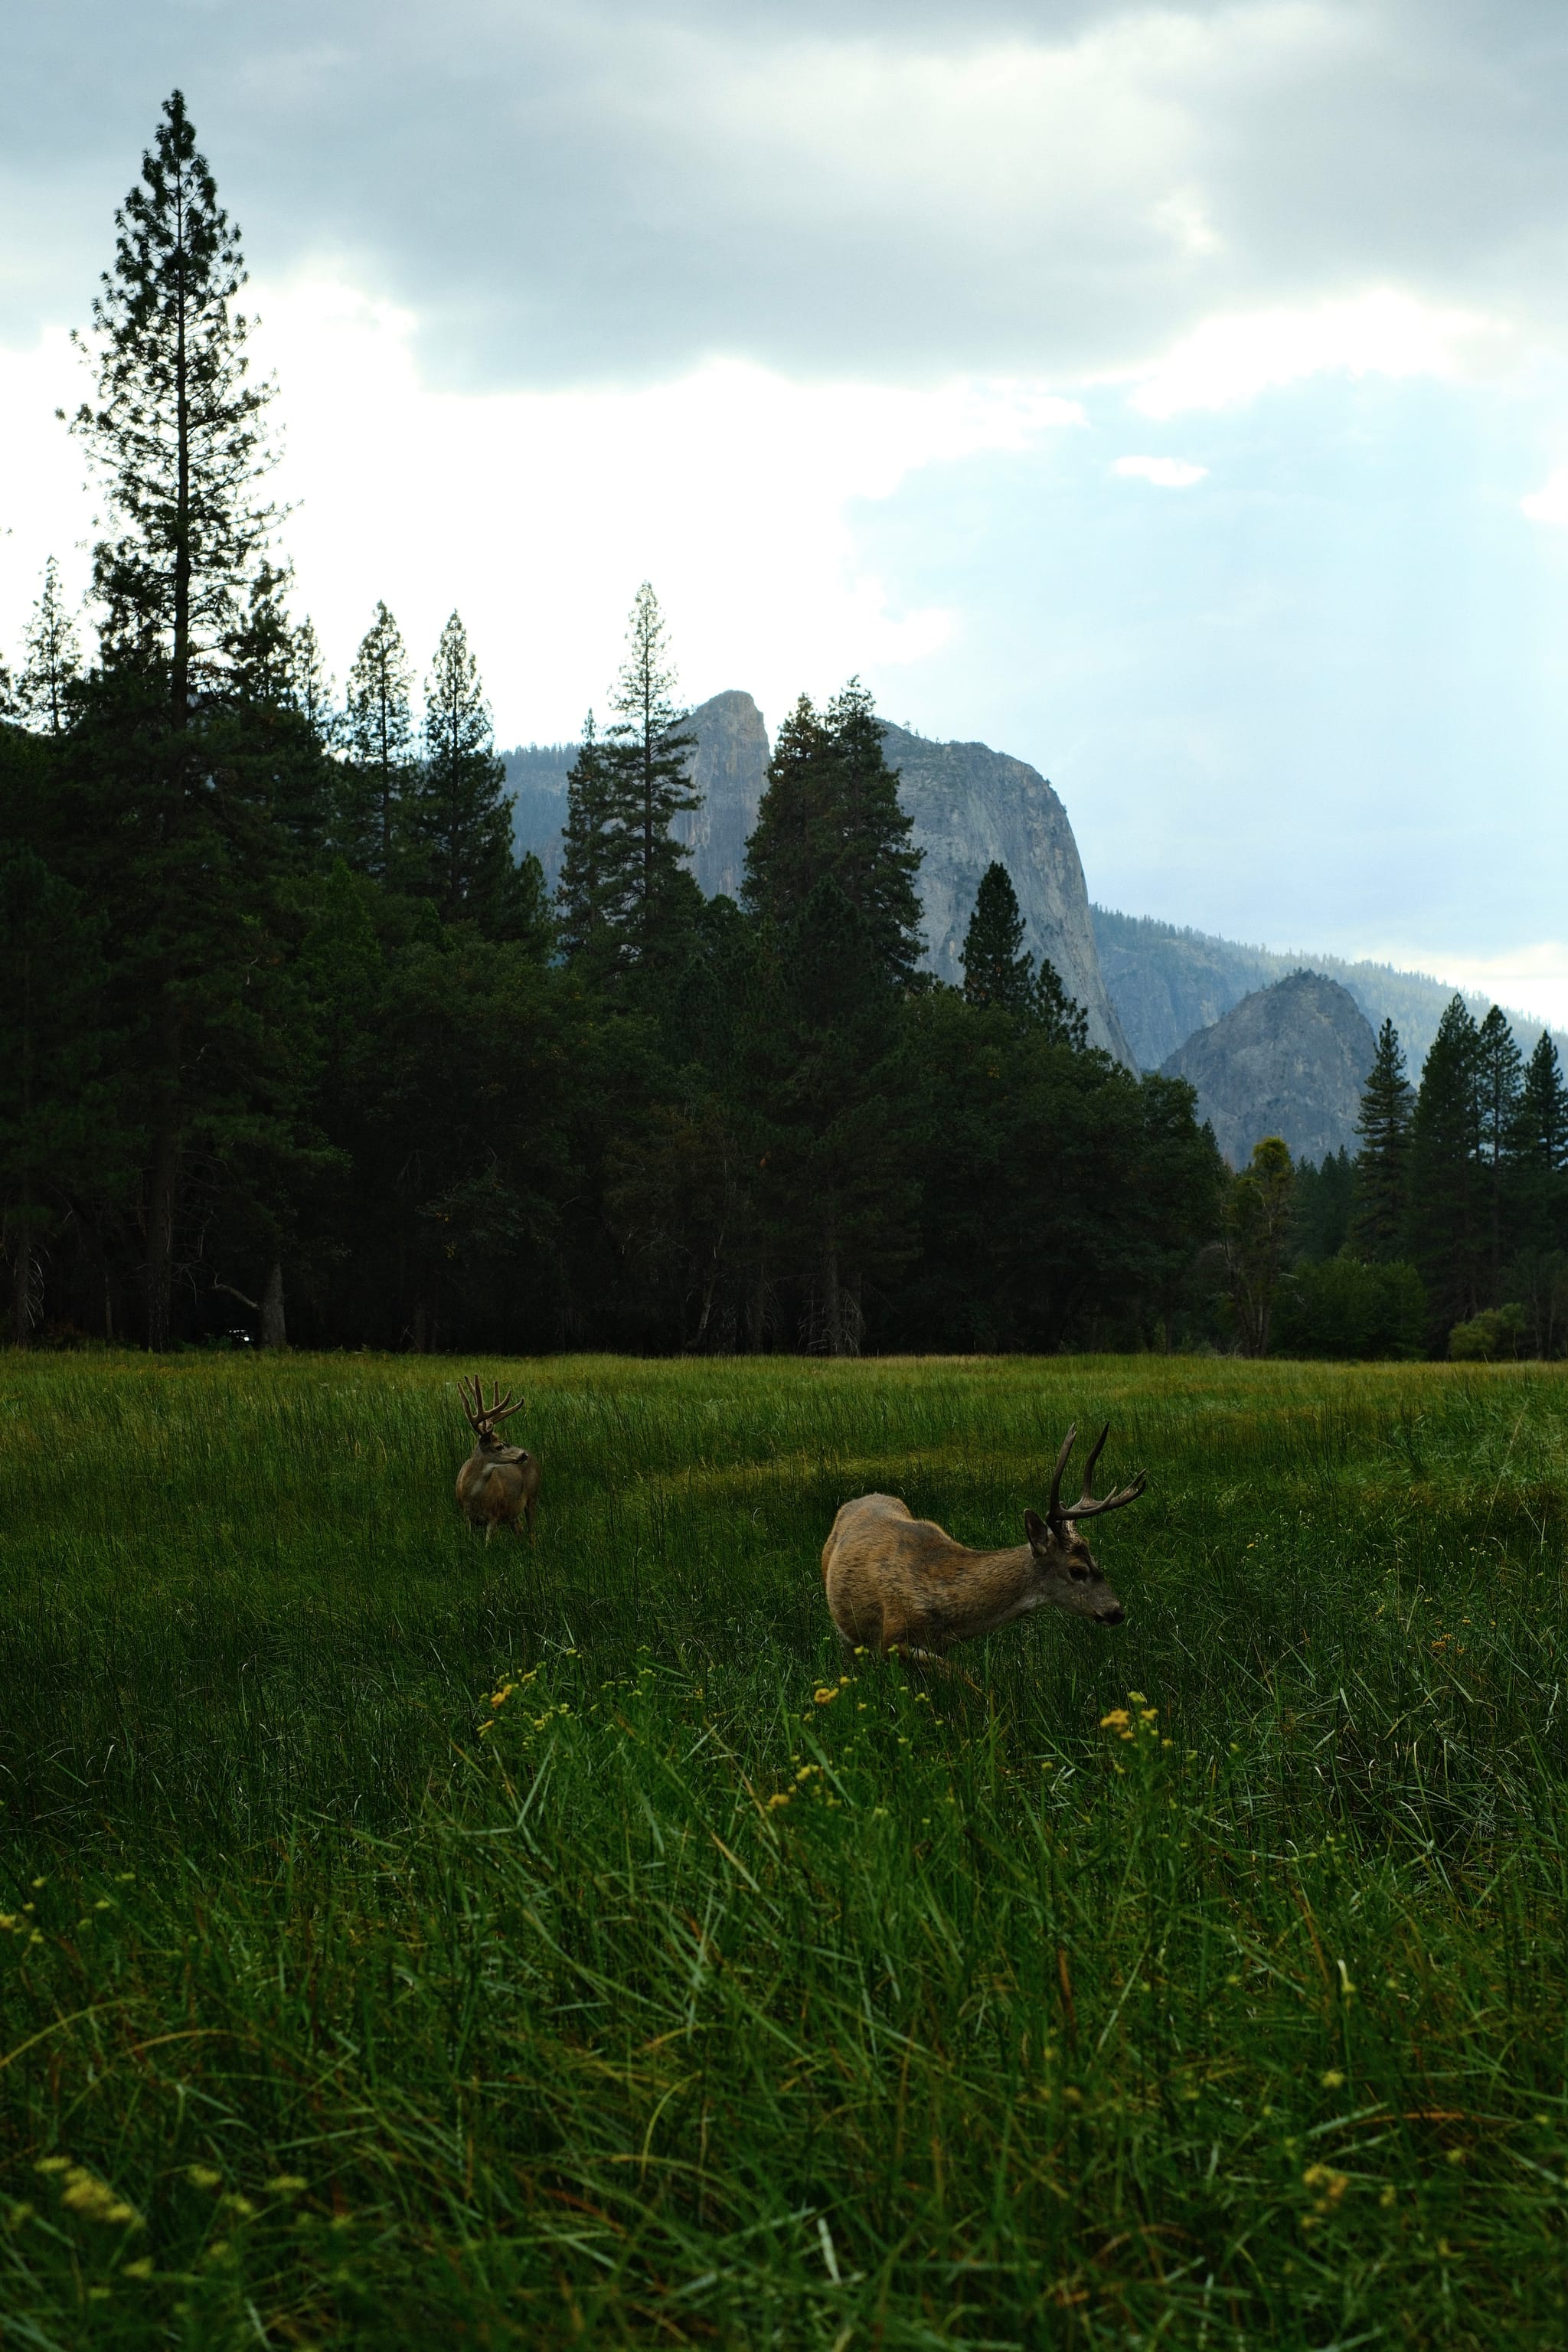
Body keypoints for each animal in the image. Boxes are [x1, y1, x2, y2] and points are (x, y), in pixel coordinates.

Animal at [456, 1374, 543, 1543]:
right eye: (498, 1446)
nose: (524, 1454)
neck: (473, 1496)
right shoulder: (467, 1517)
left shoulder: (493, 1516)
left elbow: (488, 1545)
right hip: (512, 1511)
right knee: (519, 1530)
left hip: (532, 1497)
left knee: (531, 1533)